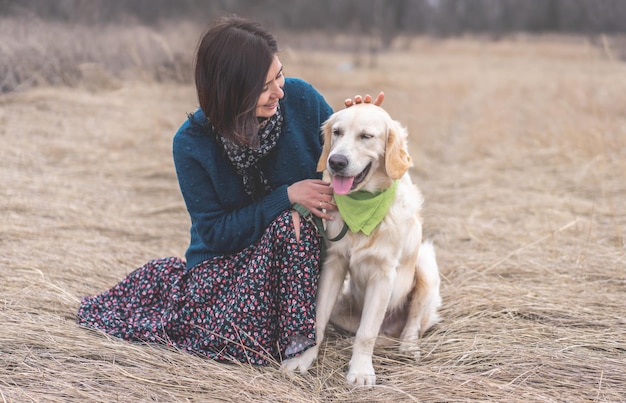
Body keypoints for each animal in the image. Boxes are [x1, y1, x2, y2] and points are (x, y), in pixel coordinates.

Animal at [280, 102, 442, 386]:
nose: (336, 161)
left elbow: (367, 332)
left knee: (412, 323)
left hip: (425, 264)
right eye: (337, 132)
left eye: (366, 136)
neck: (363, 204)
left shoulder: (383, 274)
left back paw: (408, 346)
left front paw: (361, 371)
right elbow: (318, 320)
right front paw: (304, 359)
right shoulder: (334, 263)